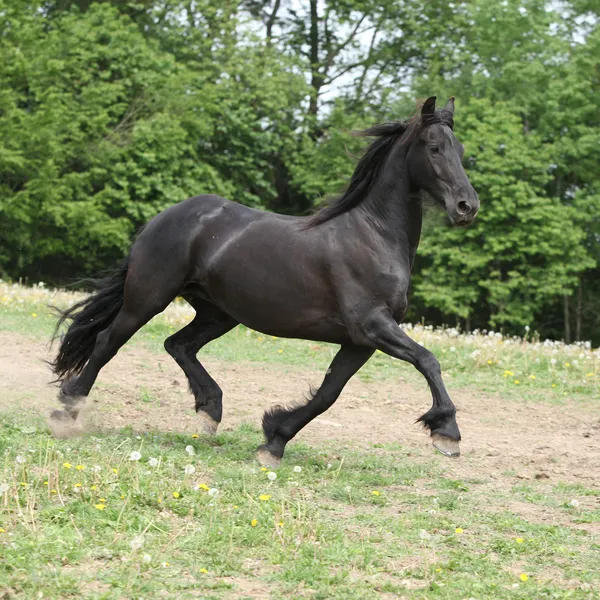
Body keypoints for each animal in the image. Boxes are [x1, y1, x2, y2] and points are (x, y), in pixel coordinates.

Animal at [52, 96, 482, 466]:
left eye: (460, 150)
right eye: (433, 147)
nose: (467, 207)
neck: (373, 235)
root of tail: (166, 216)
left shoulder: (359, 341)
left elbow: (329, 393)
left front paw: (273, 440)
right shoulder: (373, 325)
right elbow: (427, 359)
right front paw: (447, 432)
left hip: (219, 313)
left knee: (178, 344)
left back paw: (210, 410)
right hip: (149, 297)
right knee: (107, 342)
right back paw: (67, 411)